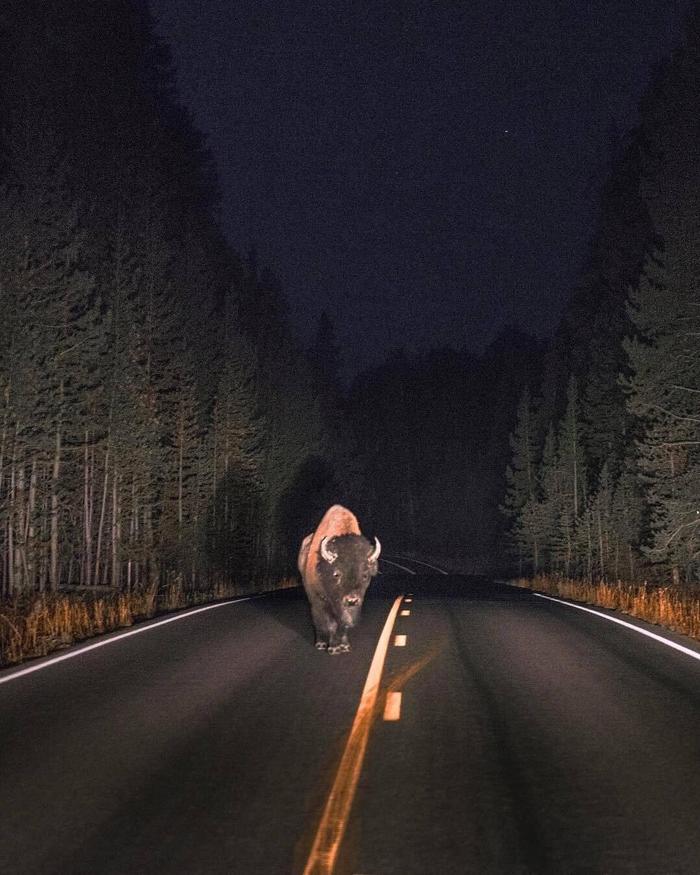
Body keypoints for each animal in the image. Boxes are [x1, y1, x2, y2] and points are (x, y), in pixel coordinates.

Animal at [298, 504, 380, 652]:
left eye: (365, 575)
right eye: (337, 574)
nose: (352, 600)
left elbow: (343, 623)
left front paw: (344, 645)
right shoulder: (321, 601)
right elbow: (329, 623)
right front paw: (334, 648)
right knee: (317, 621)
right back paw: (320, 643)